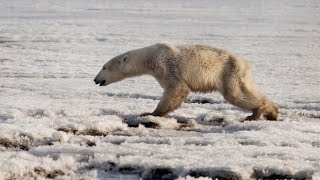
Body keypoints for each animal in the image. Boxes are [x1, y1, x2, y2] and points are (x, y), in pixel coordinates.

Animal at [94, 43, 278, 120]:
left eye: (104, 67)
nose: (95, 80)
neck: (151, 57)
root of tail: (245, 63)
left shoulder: (166, 65)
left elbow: (176, 88)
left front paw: (150, 113)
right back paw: (269, 113)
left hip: (229, 72)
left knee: (237, 94)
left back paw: (258, 113)